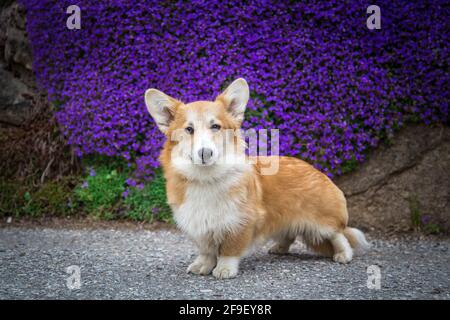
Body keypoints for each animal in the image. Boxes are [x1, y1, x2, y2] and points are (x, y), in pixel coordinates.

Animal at [144, 79, 370, 278]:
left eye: (215, 127)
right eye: (189, 129)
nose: (205, 152)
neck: (206, 178)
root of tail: (316, 170)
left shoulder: (240, 222)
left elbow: (229, 250)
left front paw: (225, 269)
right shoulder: (198, 224)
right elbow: (206, 250)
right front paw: (203, 265)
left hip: (323, 222)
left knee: (339, 235)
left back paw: (343, 254)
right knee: (289, 234)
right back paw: (279, 248)